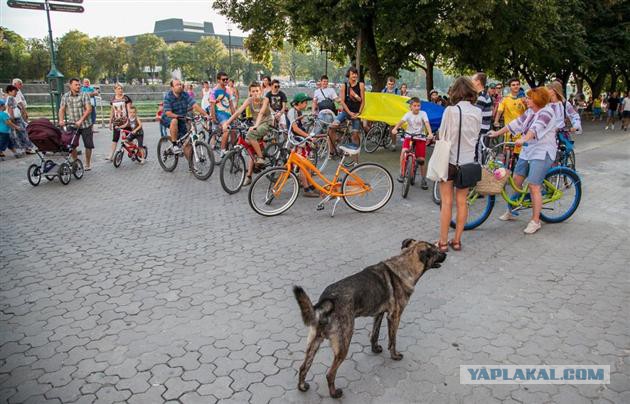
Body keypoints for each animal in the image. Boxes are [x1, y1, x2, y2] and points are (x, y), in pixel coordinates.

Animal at [294, 238, 446, 396]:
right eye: (436, 250)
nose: (446, 254)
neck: (405, 264)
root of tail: (327, 301)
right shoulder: (394, 317)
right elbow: (393, 340)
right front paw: (395, 355)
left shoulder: (379, 314)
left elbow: (374, 334)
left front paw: (375, 349)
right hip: (343, 343)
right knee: (330, 374)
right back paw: (334, 393)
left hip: (314, 342)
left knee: (303, 367)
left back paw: (302, 386)